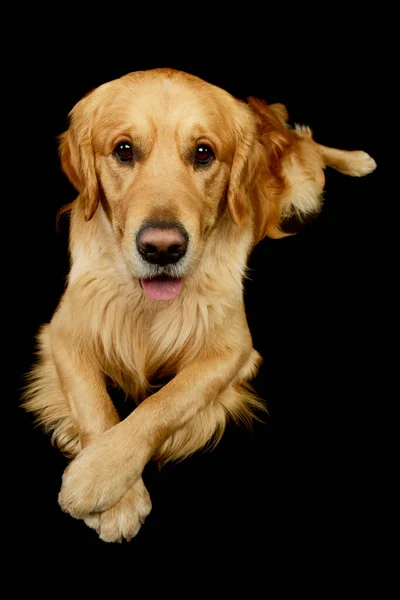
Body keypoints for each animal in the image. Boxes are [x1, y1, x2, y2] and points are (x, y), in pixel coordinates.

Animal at [23, 68, 376, 540]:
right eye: (123, 150)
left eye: (204, 153)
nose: (162, 249)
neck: (144, 301)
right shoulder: (63, 331)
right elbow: (93, 401)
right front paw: (112, 489)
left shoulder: (234, 349)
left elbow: (165, 402)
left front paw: (97, 475)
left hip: (304, 185)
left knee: (309, 143)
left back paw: (357, 159)